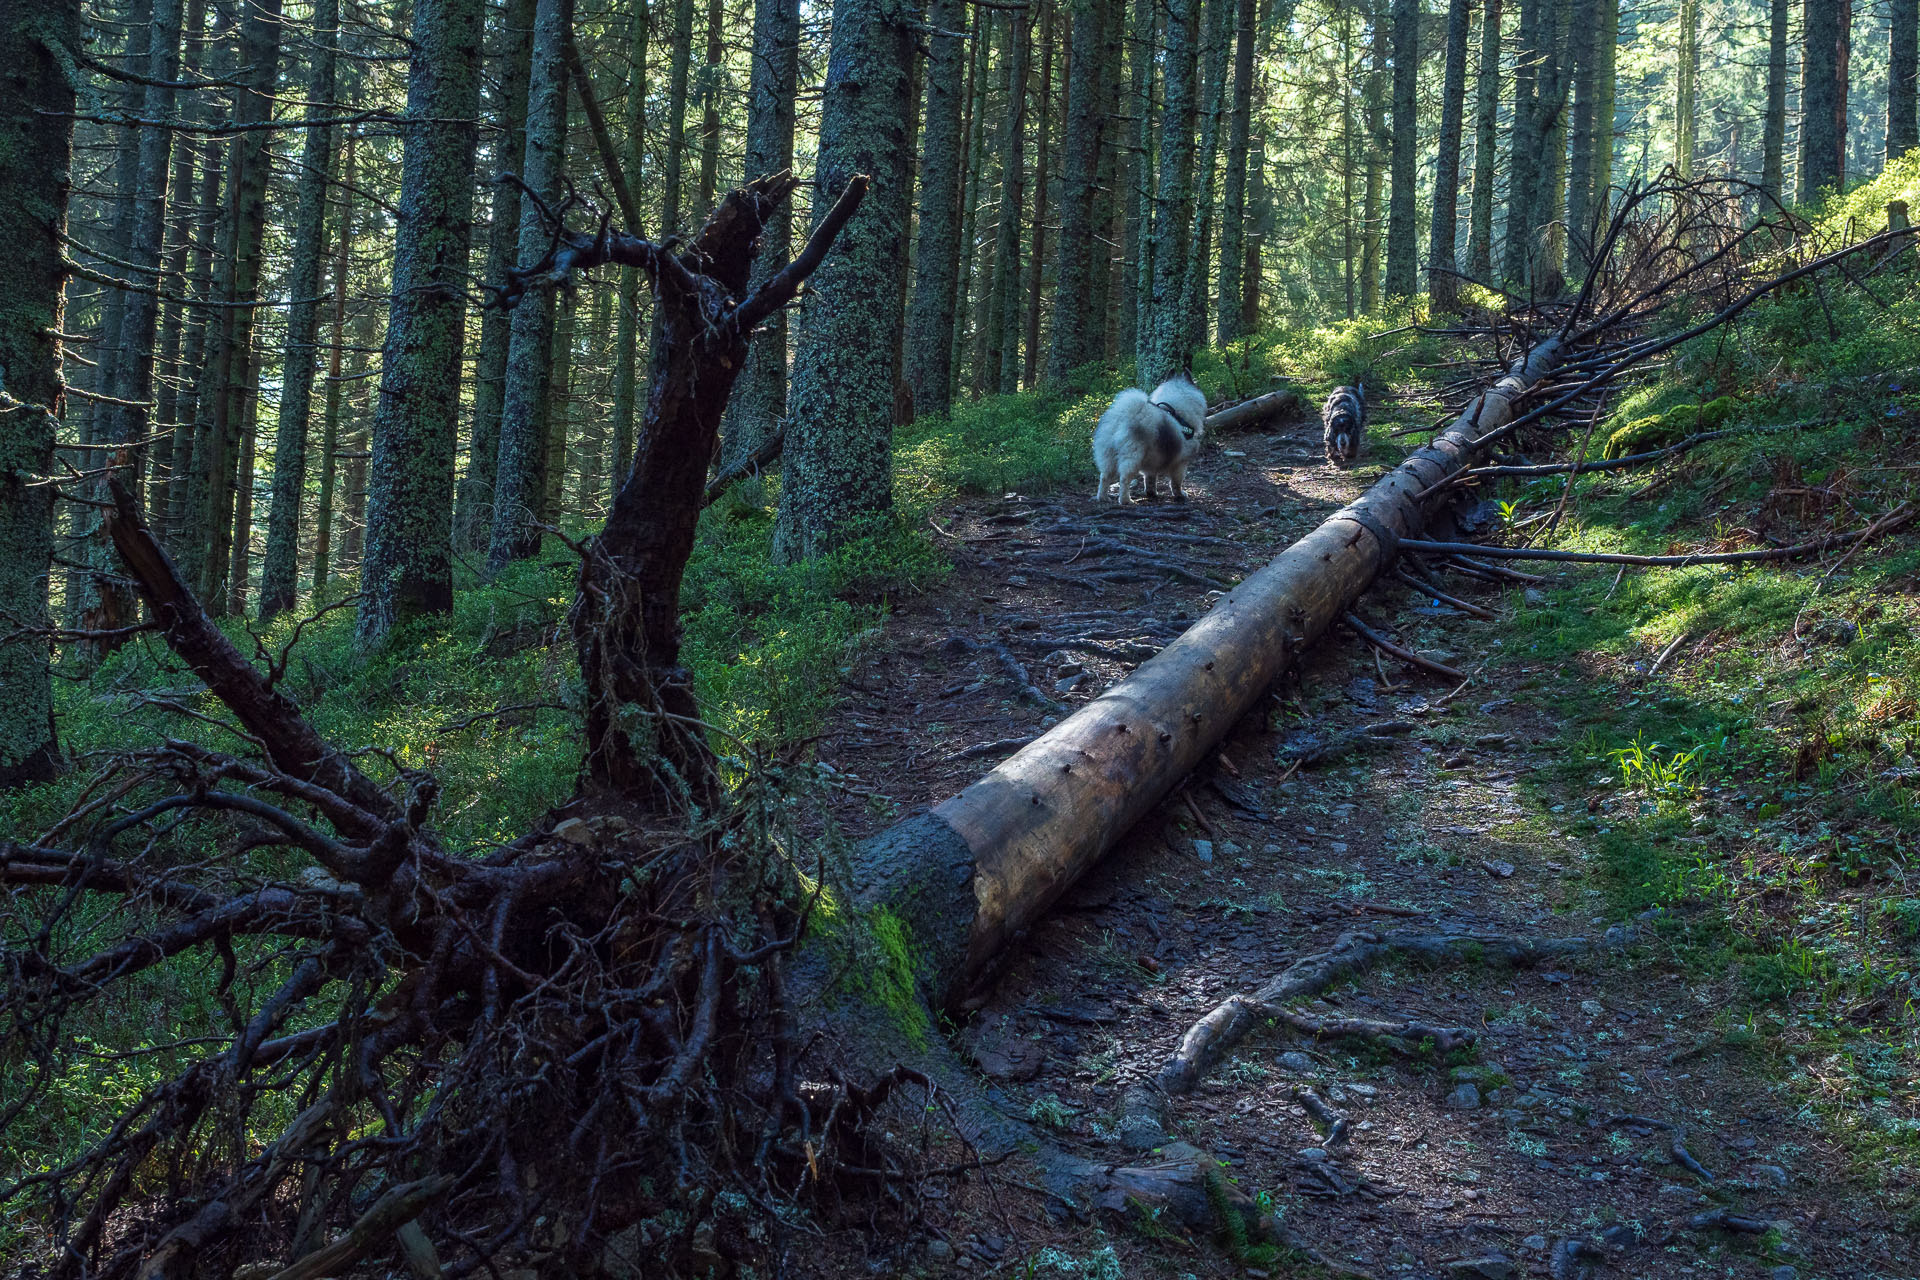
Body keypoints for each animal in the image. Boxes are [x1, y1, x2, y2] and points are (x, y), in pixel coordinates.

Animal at [1090, 372, 1205, 502]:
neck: (1177, 413)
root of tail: (1122, 417)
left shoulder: (1154, 459)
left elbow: (1150, 479)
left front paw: (1151, 493)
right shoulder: (1180, 463)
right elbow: (1176, 482)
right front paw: (1180, 494)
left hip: (1107, 455)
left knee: (1104, 477)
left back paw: (1103, 497)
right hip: (1133, 456)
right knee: (1124, 479)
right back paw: (1126, 500)